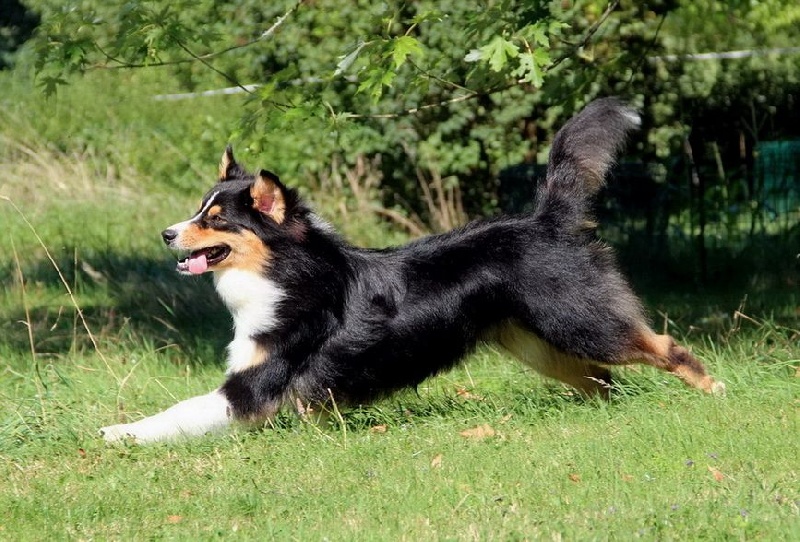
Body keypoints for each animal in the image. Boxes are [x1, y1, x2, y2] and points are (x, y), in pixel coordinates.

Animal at [100, 99, 724, 446]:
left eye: (215, 219)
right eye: (197, 209)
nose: (167, 234)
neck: (285, 273)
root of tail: (547, 218)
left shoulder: (252, 386)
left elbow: (177, 413)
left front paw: (118, 433)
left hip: (580, 322)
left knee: (664, 346)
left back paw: (715, 392)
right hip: (539, 345)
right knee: (603, 382)